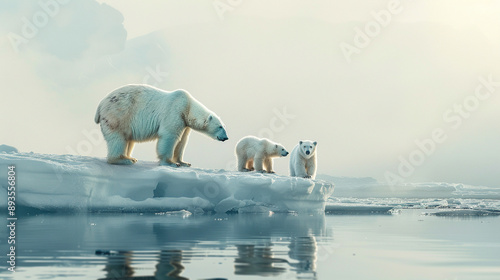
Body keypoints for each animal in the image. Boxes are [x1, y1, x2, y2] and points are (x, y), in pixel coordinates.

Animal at [95, 84, 229, 165]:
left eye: (224, 126)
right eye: (220, 126)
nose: (226, 137)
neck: (187, 106)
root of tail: (100, 105)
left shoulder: (184, 123)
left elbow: (182, 141)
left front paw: (184, 163)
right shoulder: (175, 112)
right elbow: (170, 136)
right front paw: (170, 163)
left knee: (128, 140)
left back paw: (130, 157)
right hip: (118, 115)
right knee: (118, 138)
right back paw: (124, 160)